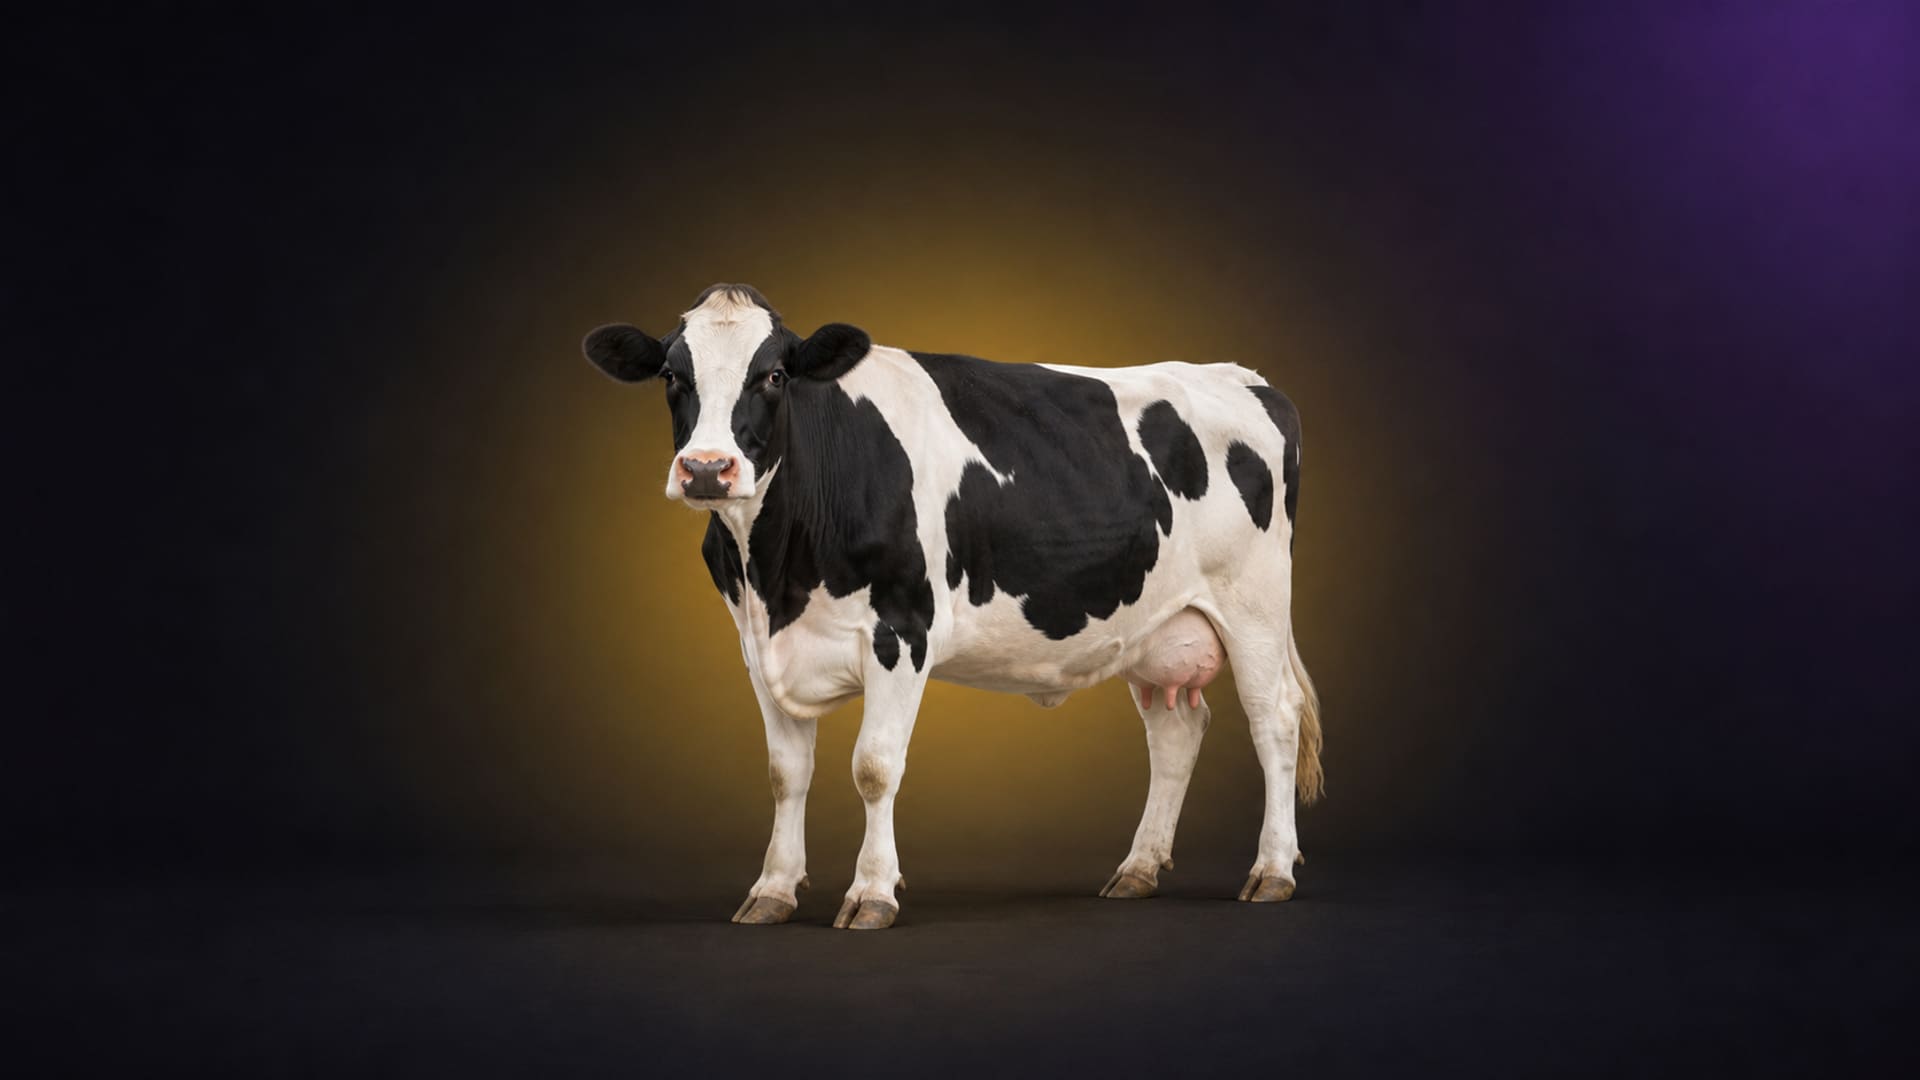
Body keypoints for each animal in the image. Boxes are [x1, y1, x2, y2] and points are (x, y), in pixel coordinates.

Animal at [582, 284, 1322, 930]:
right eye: (672, 376)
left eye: (773, 376)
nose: (707, 469)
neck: (778, 573)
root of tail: (1247, 378)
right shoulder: (758, 644)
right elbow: (785, 774)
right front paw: (772, 890)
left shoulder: (901, 631)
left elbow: (874, 767)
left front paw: (872, 894)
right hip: (1152, 624)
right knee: (1175, 733)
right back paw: (1137, 869)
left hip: (1254, 604)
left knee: (1274, 721)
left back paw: (1271, 872)